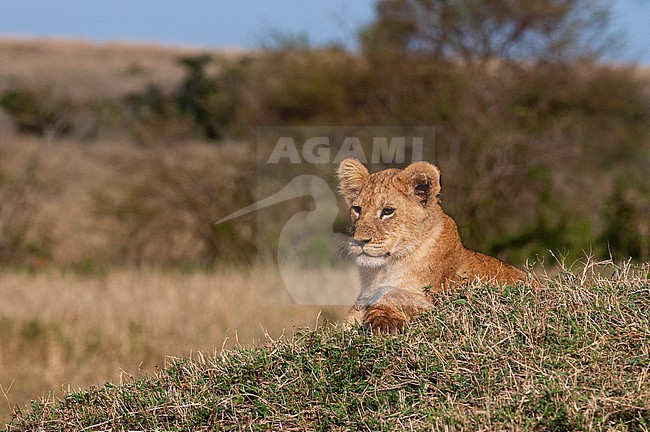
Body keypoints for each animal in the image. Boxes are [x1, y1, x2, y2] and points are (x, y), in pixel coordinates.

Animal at [337, 157, 529, 333]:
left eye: (387, 211)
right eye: (357, 209)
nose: (359, 240)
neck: (381, 270)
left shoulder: (432, 293)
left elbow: (396, 295)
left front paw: (381, 322)